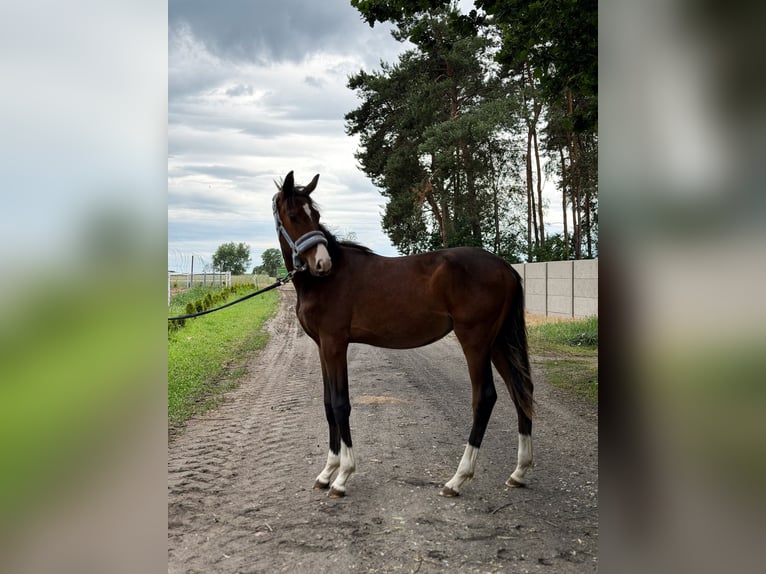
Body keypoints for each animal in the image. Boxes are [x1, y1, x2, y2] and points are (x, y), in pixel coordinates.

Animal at [272, 171, 535, 498]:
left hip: (475, 341)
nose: (323, 264)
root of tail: (505, 268)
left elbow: (341, 404)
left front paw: (342, 476)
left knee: (485, 397)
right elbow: (328, 404)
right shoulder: (322, 346)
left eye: (315, 216)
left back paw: (457, 479)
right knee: (520, 391)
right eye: (295, 215)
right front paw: (326, 473)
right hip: (497, 342)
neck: (323, 283)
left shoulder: (335, 344)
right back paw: (519, 472)